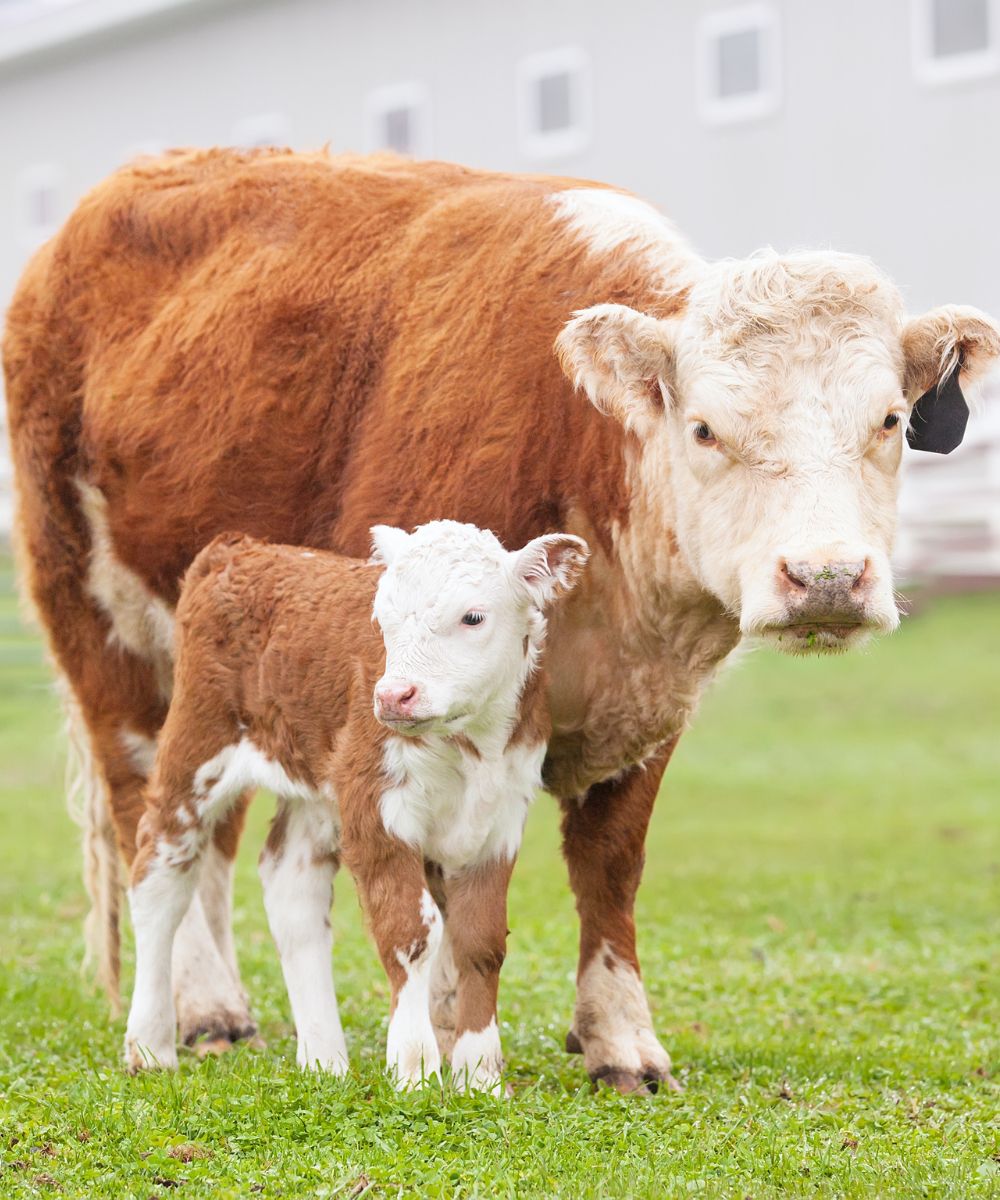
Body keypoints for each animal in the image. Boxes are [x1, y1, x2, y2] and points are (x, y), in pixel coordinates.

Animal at [123, 523, 585, 1089]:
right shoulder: (375, 806)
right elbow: (411, 931)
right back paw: (150, 1045)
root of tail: (241, 546)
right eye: (382, 617)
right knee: (159, 879)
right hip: (195, 745)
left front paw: (480, 1076)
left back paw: (324, 1060)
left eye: (473, 616)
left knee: (291, 886)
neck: (471, 745)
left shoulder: (500, 820)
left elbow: (480, 941)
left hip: (315, 784)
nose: (393, 696)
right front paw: (413, 1067)